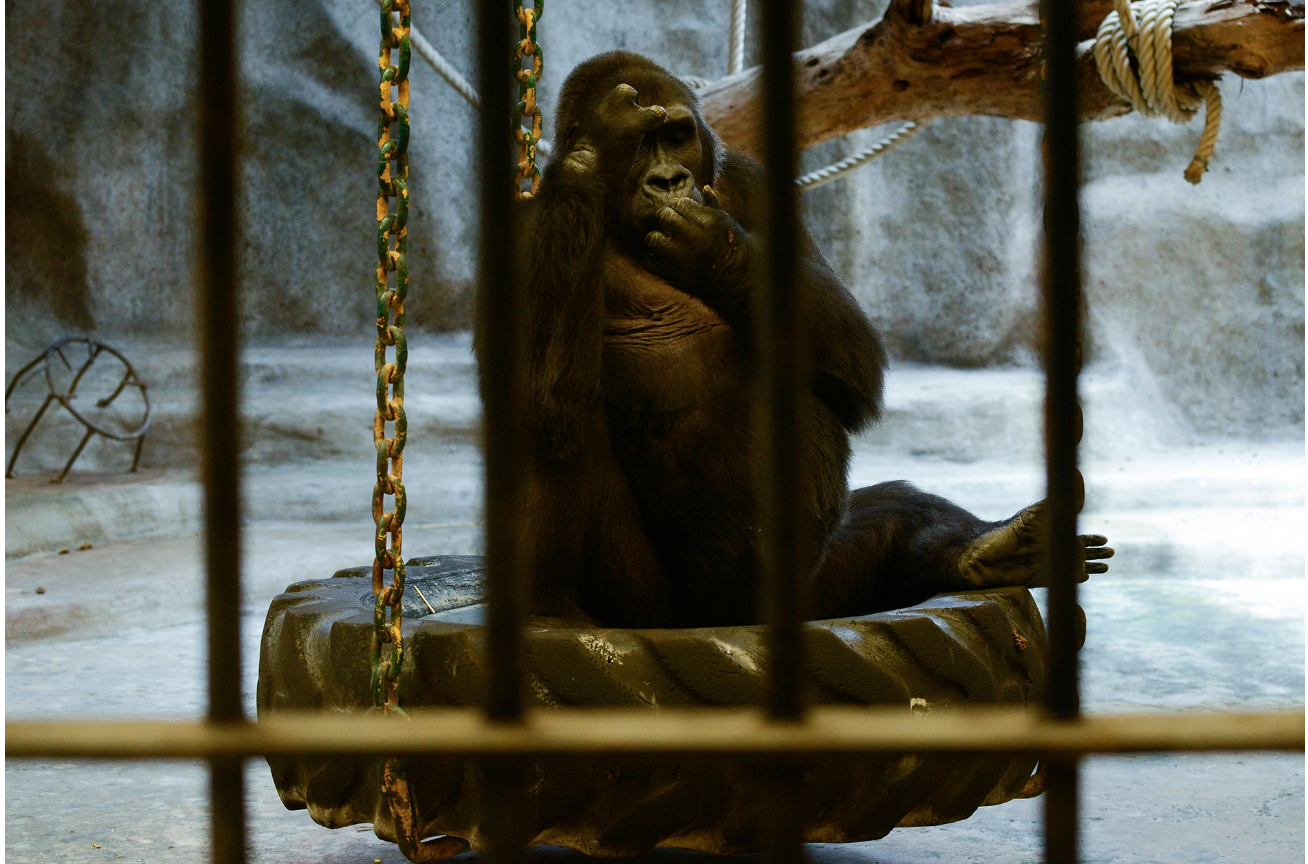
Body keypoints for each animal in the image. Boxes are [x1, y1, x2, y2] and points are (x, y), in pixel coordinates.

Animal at [476, 51, 1112, 628]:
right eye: (638, 146)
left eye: (677, 136)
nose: (669, 179)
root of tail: (728, 623)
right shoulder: (522, 228)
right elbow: (538, 403)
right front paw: (593, 156)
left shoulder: (752, 184)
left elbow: (855, 363)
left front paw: (714, 248)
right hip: (650, 607)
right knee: (558, 429)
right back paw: (551, 614)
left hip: (812, 590)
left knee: (894, 510)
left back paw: (987, 554)